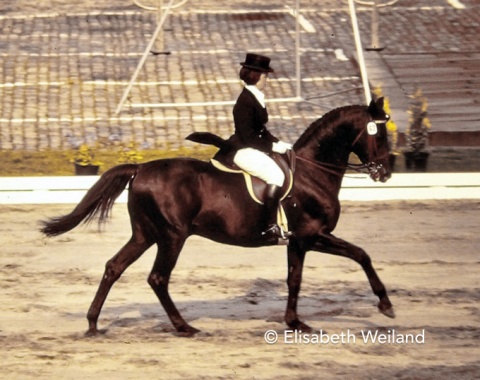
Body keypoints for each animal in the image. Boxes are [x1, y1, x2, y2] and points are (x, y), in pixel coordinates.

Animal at [40, 97, 394, 336]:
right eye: (379, 134)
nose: (385, 173)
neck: (313, 173)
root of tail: (140, 169)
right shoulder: (312, 235)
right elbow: (362, 255)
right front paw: (385, 305)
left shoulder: (298, 242)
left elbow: (295, 279)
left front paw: (295, 322)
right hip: (172, 236)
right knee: (157, 278)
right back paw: (184, 326)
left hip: (145, 234)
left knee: (114, 267)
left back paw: (92, 324)